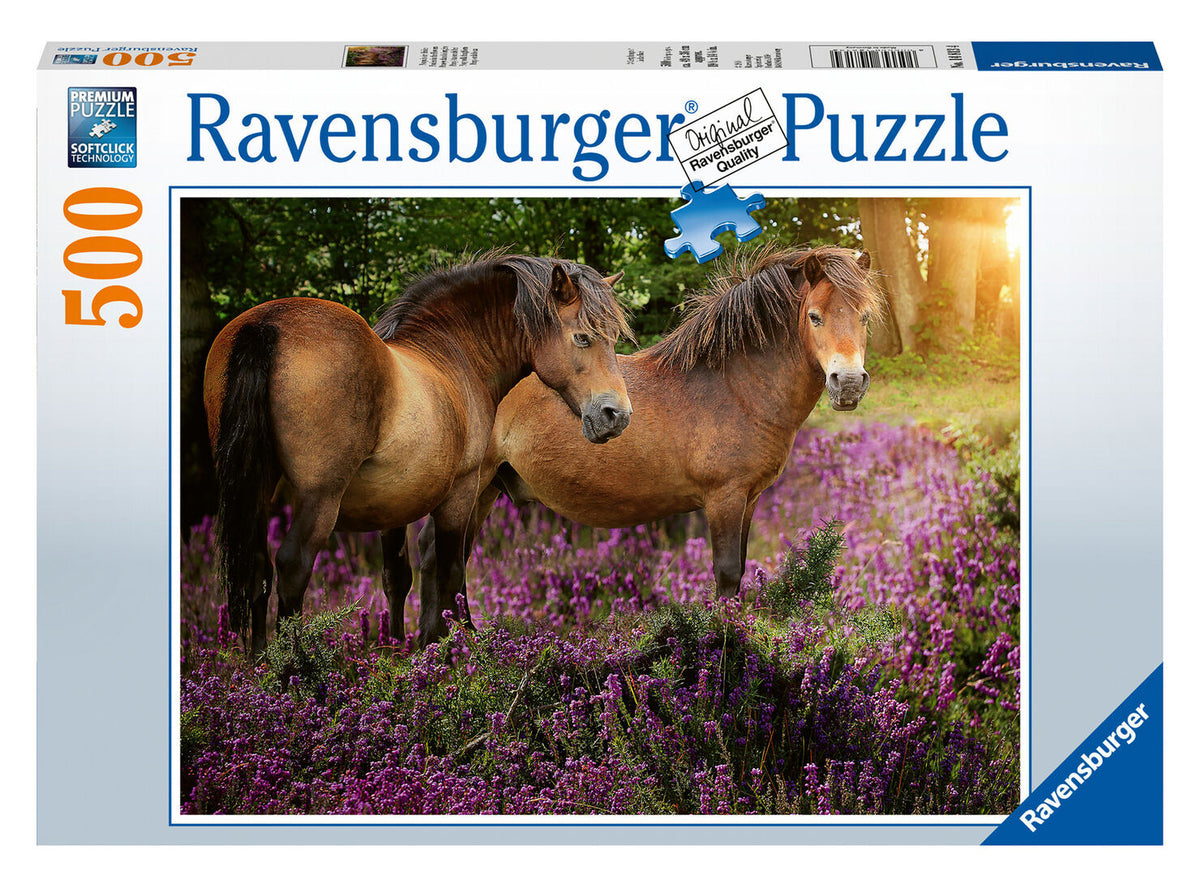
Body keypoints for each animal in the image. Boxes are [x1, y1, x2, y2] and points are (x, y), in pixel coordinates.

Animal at [203, 253, 634, 655]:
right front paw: (453, 644)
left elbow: (397, 577)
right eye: (582, 338)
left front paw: (396, 649)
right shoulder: (461, 492)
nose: (617, 415)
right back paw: (294, 668)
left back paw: (262, 663)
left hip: (258, 487)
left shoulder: (390, 507)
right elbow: (451, 570)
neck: (454, 354)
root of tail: (267, 324)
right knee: (293, 567)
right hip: (319, 498)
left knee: (257, 568)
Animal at [395, 245, 884, 630]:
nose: (848, 383)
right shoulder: (724, 497)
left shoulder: (749, 498)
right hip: (472, 486)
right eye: (815, 317)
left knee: (440, 557)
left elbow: (741, 567)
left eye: (863, 317)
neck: (735, 386)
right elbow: (727, 573)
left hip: (485, 489)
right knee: (443, 559)